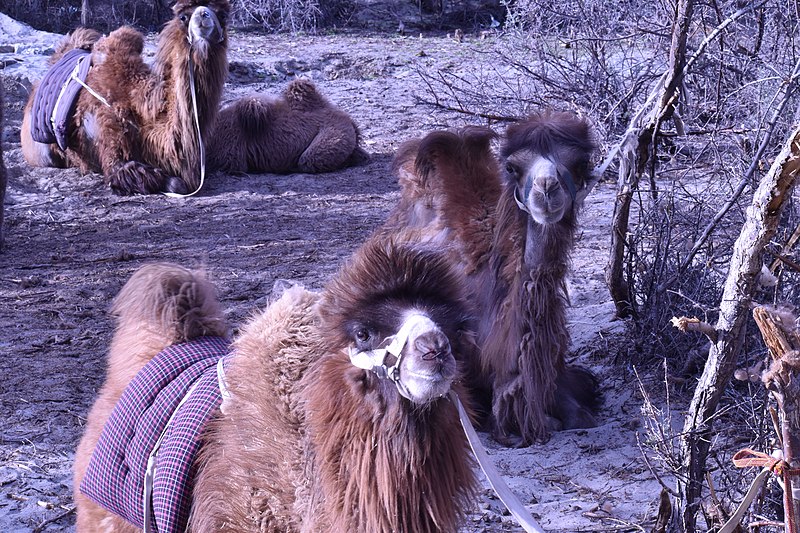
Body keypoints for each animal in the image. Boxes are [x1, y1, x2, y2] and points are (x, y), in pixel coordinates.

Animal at [19, 0, 231, 195]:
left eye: (222, 16)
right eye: (183, 17)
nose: (203, 15)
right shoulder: (108, 136)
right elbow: (174, 183)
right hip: (40, 152)